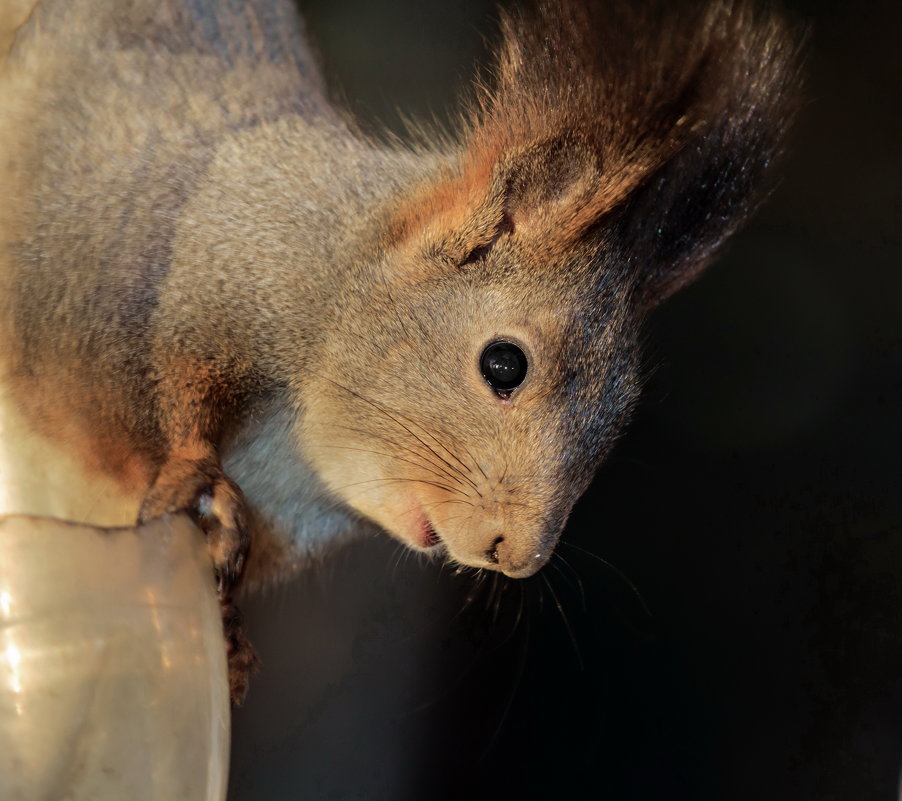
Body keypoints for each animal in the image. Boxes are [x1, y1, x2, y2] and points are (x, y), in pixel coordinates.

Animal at [0, 0, 804, 700]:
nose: (516, 555)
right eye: (504, 364)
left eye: (618, 425)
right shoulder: (161, 278)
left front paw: (229, 642)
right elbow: (168, 381)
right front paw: (194, 472)